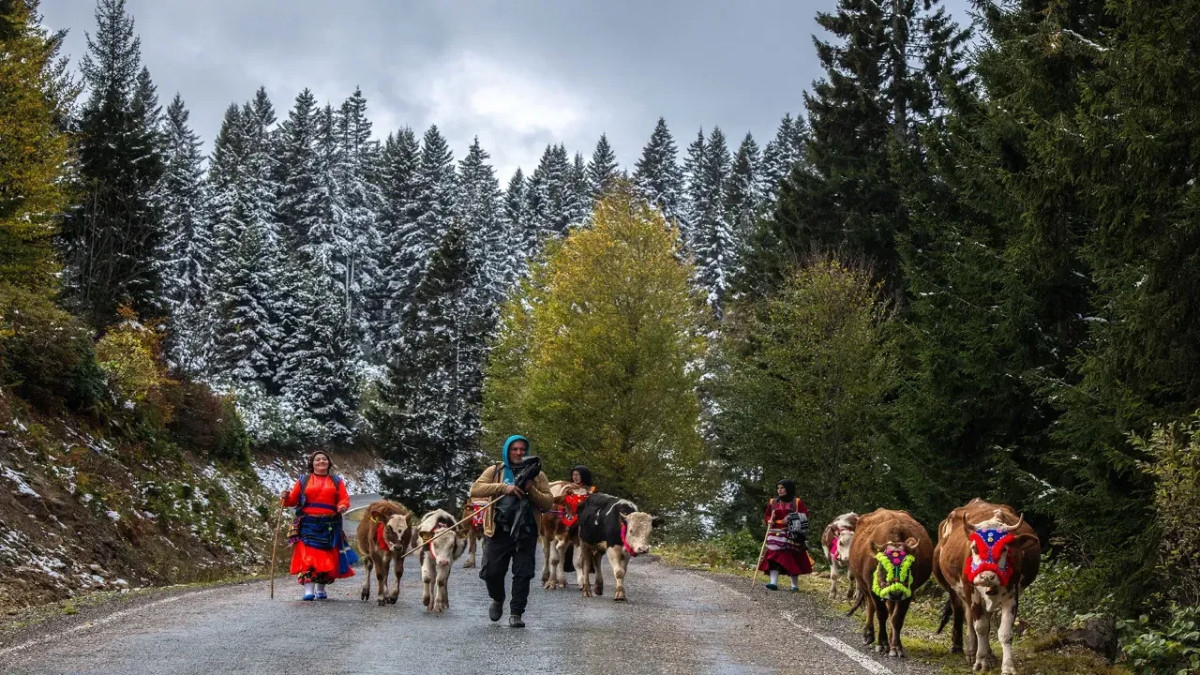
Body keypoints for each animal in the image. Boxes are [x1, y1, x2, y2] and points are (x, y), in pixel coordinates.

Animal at [844, 506, 936, 653]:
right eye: (883, 566)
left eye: (908, 566)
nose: (895, 592)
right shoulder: (873, 589)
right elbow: (881, 614)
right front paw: (882, 643)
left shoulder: (908, 592)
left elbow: (897, 618)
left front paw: (896, 646)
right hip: (864, 585)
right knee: (871, 607)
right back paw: (868, 634)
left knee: (891, 611)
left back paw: (892, 637)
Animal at [926, 497, 1041, 667]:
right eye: (975, 547)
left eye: (1004, 548)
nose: (987, 576)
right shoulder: (971, 591)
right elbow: (979, 625)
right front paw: (980, 660)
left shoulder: (1012, 595)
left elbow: (999, 629)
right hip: (953, 587)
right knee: (962, 612)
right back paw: (963, 648)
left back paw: (986, 653)